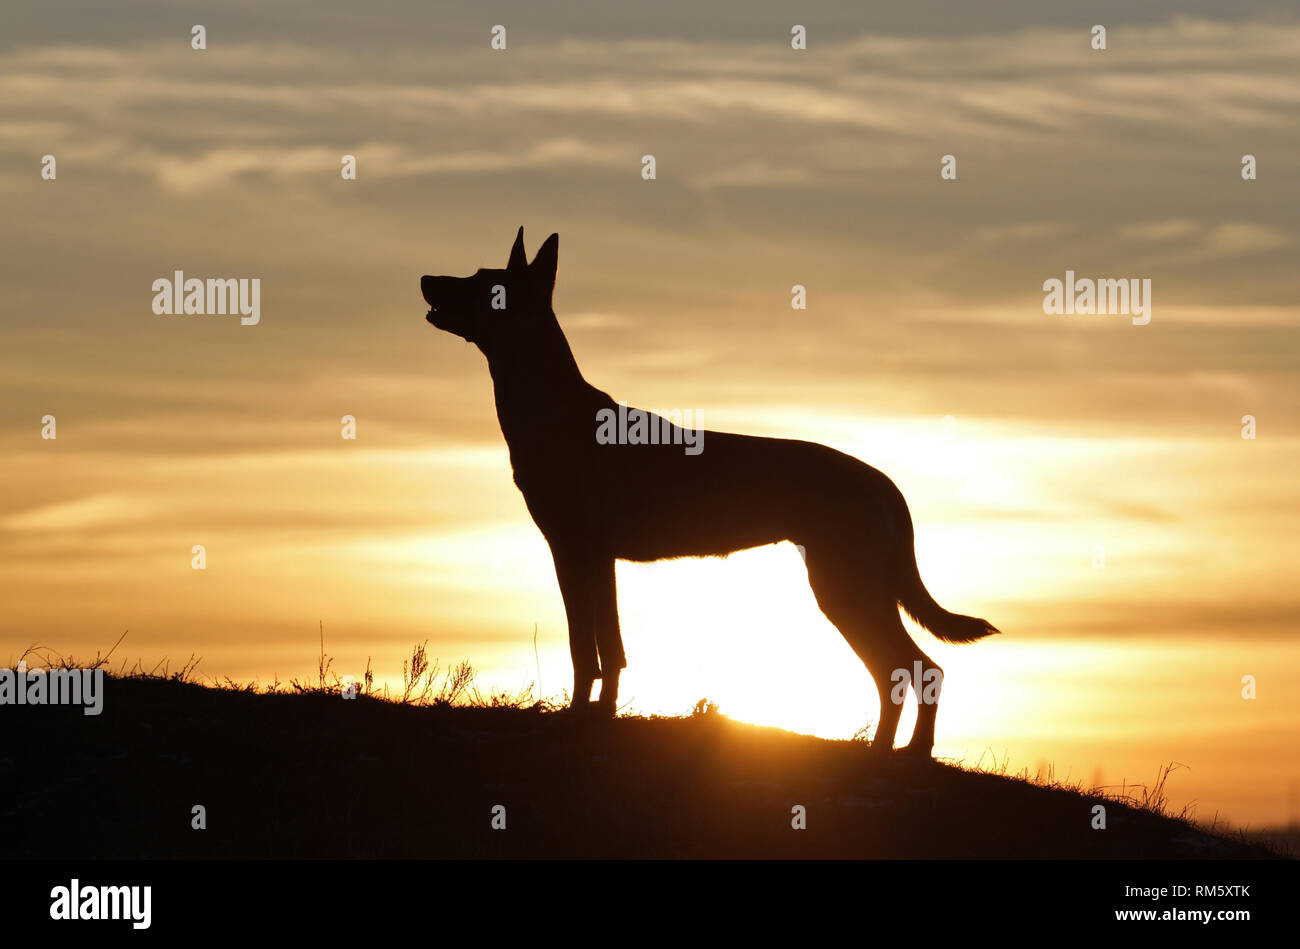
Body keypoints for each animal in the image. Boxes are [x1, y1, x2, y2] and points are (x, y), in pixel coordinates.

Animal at [421, 224, 998, 748]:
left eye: (482, 282)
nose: (426, 278)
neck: (551, 408)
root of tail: (886, 484)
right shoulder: (593, 560)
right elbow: (606, 649)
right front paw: (598, 715)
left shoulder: (577, 553)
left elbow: (589, 649)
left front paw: (581, 719)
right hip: (854, 588)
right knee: (904, 670)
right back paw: (890, 752)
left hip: (845, 589)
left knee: (912, 667)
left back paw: (904, 754)